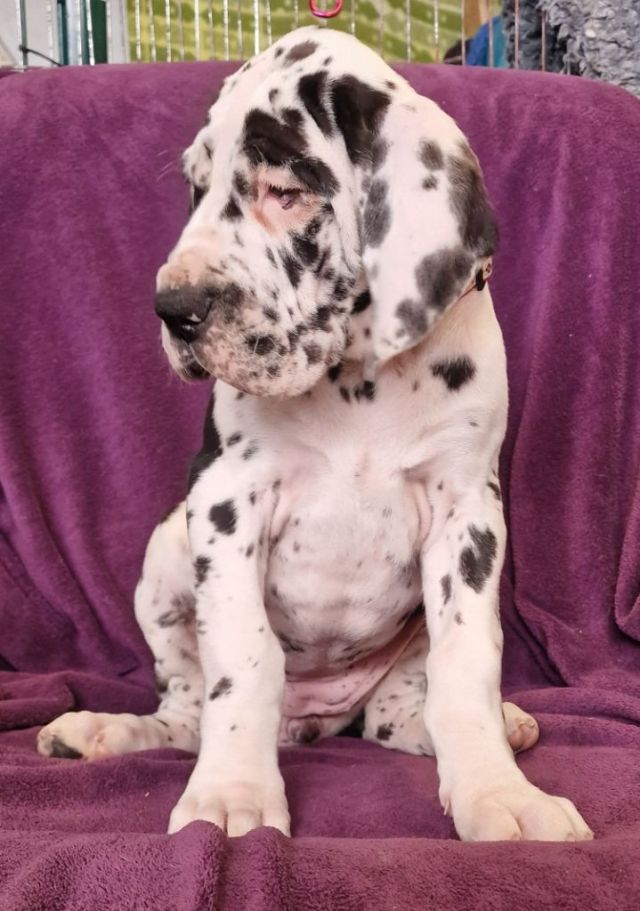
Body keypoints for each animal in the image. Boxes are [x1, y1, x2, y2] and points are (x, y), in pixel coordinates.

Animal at [38, 26, 592, 843]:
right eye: (197, 189)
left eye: (285, 190)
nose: (172, 309)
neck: (356, 379)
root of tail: (312, 725)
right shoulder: (226, 498)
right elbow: (244, 658)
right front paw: (232, 792)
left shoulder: (469, 515)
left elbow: (467, 662)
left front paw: (500, 791)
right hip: (164, 557)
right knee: (185, 714)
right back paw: (101, 732)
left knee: (397, 715)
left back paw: (497, 725)